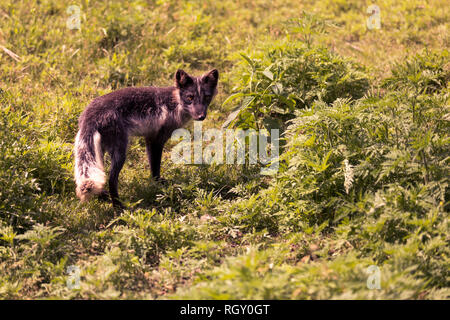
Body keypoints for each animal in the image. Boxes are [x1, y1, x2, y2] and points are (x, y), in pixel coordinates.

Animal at [74, 68, 219, 208]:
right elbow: (155, 167)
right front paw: (158, 184)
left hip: (99, 151)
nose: (201, 116)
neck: (174, 103)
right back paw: (119, 207)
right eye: (190, 97)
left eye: (207, 97)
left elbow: (152, 166)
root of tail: (89, 116)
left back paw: (102, 196)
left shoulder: (149, 139)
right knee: (111, 179)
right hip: (120, 152)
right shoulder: (156, 140)